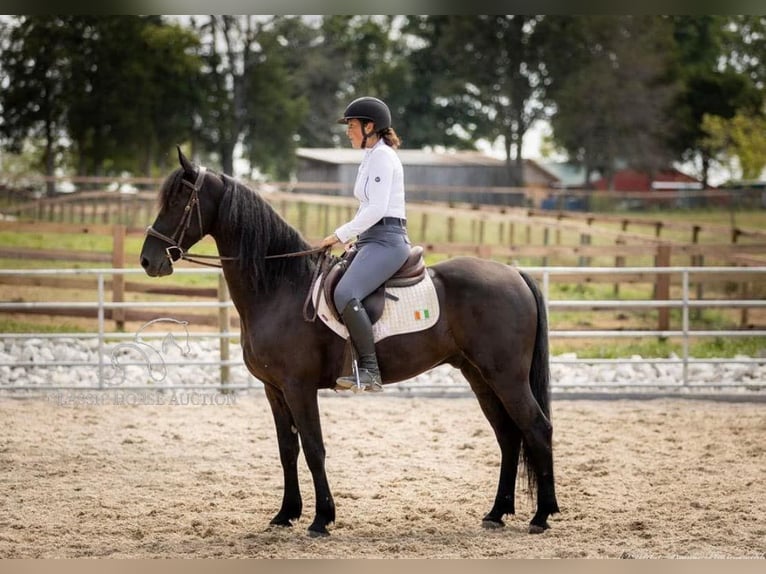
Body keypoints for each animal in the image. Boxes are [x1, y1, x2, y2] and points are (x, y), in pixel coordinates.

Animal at [140, 151, 560, 536]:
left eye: (179, 199)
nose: (148, 260)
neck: (280, 287)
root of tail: (515, 274)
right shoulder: (274, 389)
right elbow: (287, 450)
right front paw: (285, 514)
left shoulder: (299, 387)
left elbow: (314, 449)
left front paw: (321, 519)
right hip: (479, 376)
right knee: (508, 436)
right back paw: (497, 513)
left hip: (507, 377)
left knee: (537, 429)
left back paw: (542, 515)